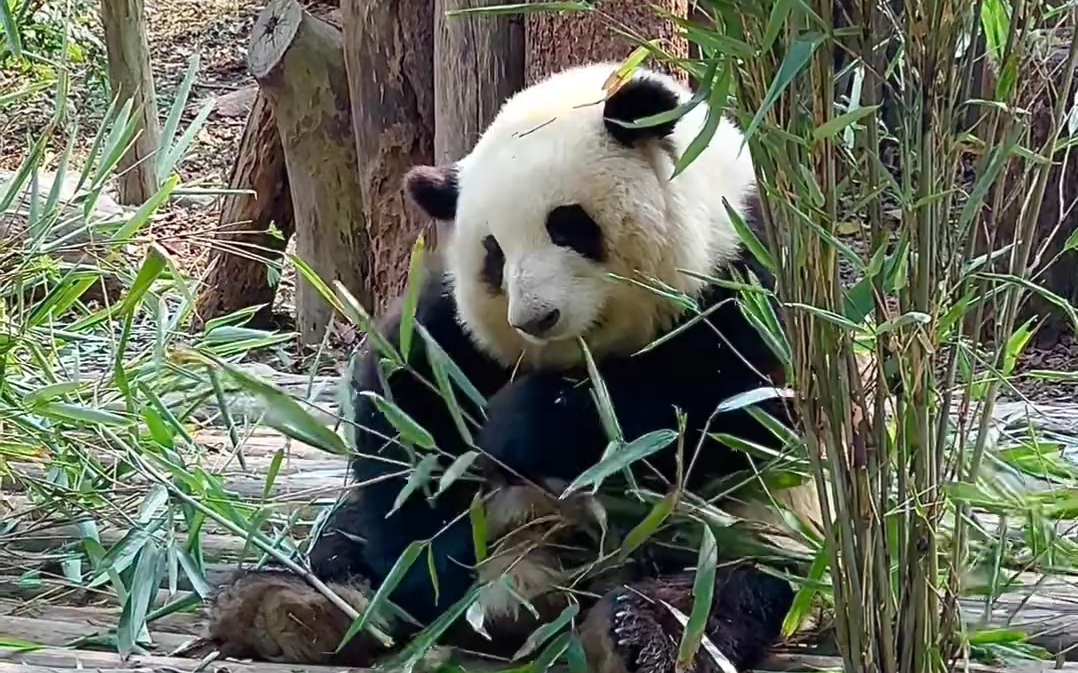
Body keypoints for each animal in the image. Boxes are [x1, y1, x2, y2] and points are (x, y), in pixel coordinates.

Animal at [200, 60, 823, 668]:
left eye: (568, 225)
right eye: (493, 255)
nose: (535, 317)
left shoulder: (747, 280)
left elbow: (723, 408)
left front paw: (516, 427)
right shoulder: (452, 328)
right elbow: (403, 405)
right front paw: (430, 559)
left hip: (752, 530)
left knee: (722, 584)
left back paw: (639, 635)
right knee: (340, 544)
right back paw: (293, 606)